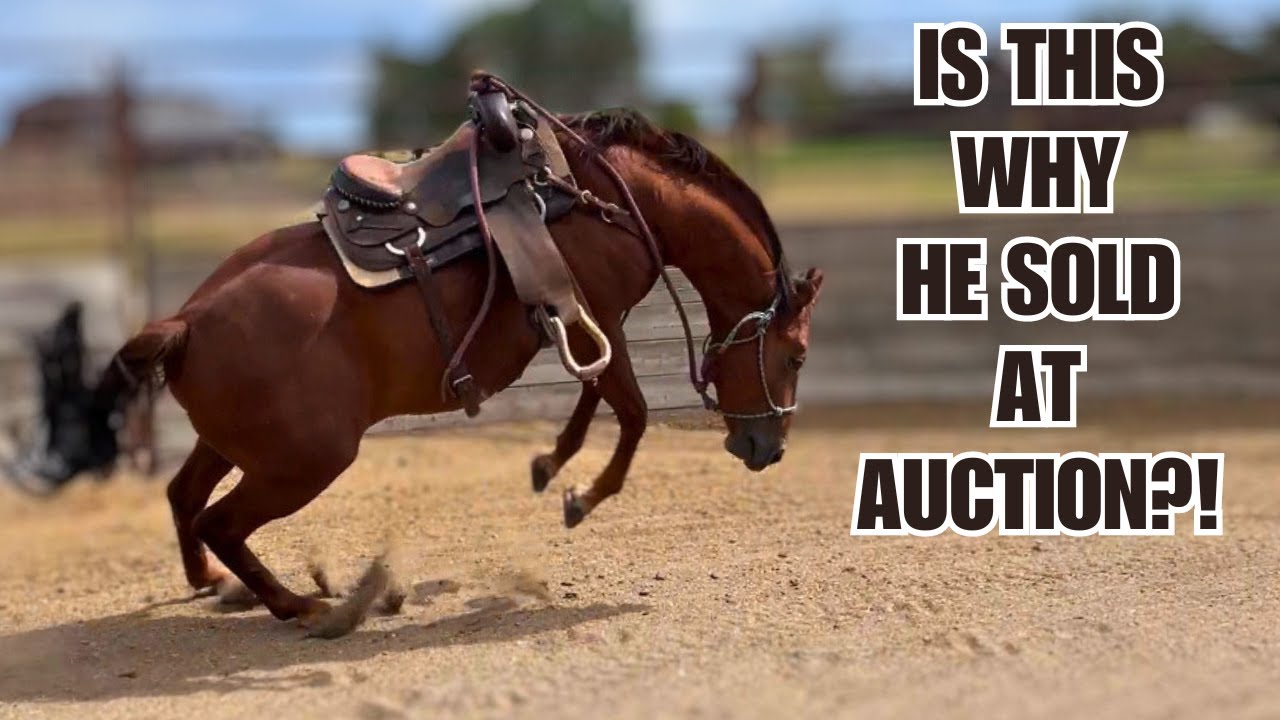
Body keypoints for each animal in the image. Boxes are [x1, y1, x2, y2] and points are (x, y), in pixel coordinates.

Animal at [90, 97, 824, 634]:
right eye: (796, 354)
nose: (769, 449)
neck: (616, 199)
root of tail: (184, 322)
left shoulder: (582, 320)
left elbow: (595, 396)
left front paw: (550, 464)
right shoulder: (597, 311)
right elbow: (633, 414)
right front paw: (579, 497)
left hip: (236, 445)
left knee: (183, 496)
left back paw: (217, 585)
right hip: (306, 460)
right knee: (218, 522)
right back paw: (310, 605)